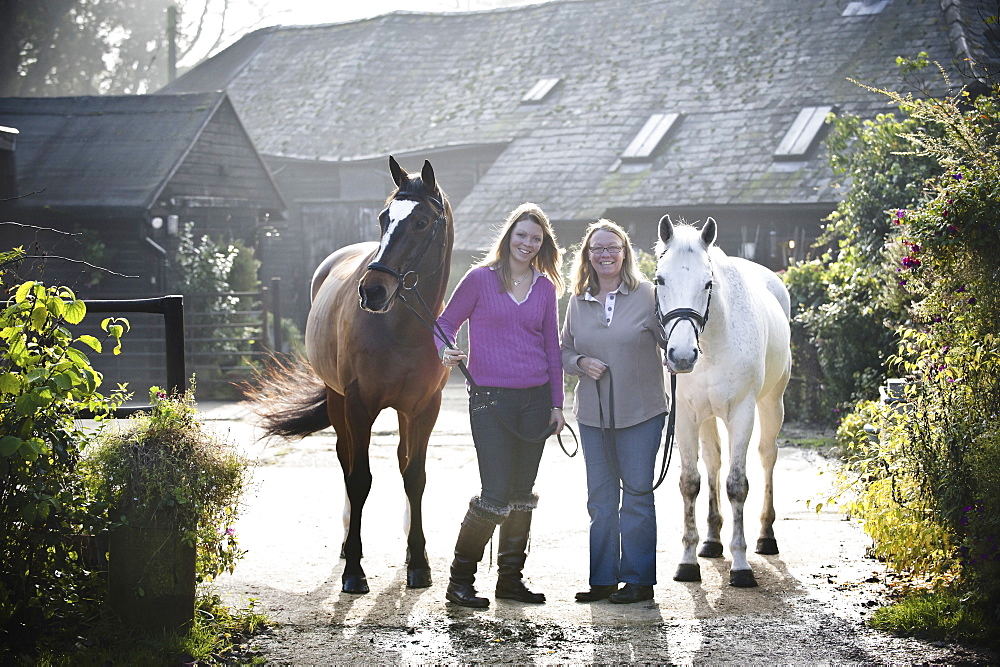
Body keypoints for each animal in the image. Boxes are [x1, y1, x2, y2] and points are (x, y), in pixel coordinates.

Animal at [254, 158, 454, 596]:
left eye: (422, 222)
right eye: (384, 218)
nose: (372, 291)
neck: (402, 329)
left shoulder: (424, 408)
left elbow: (415, 476)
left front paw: (419, 563)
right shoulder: (360, 406)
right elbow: (359, 479)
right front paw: (354, 570)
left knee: (400, 460)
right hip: (337, 400)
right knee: (345, 461)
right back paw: (348, 546)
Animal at [652, 217, 792, 588]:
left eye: (707, 283)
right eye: (660, 280)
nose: (681, 356)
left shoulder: (742, 413)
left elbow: (737, 485)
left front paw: (741, 565)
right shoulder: (687, 416)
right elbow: (691, 483)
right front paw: (687, 562)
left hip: (772, 403)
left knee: (766, 456)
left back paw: (765, 536)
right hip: (707, 416)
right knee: (713, 462)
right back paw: (712, 541)